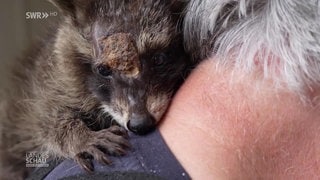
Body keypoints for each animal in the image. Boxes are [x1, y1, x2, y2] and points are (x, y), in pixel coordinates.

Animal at [0, 0, 190, 179]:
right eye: (103, 70)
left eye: (159, 59)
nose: (140, 124)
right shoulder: (51, 80)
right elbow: (45, 118)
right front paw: (79, 137)